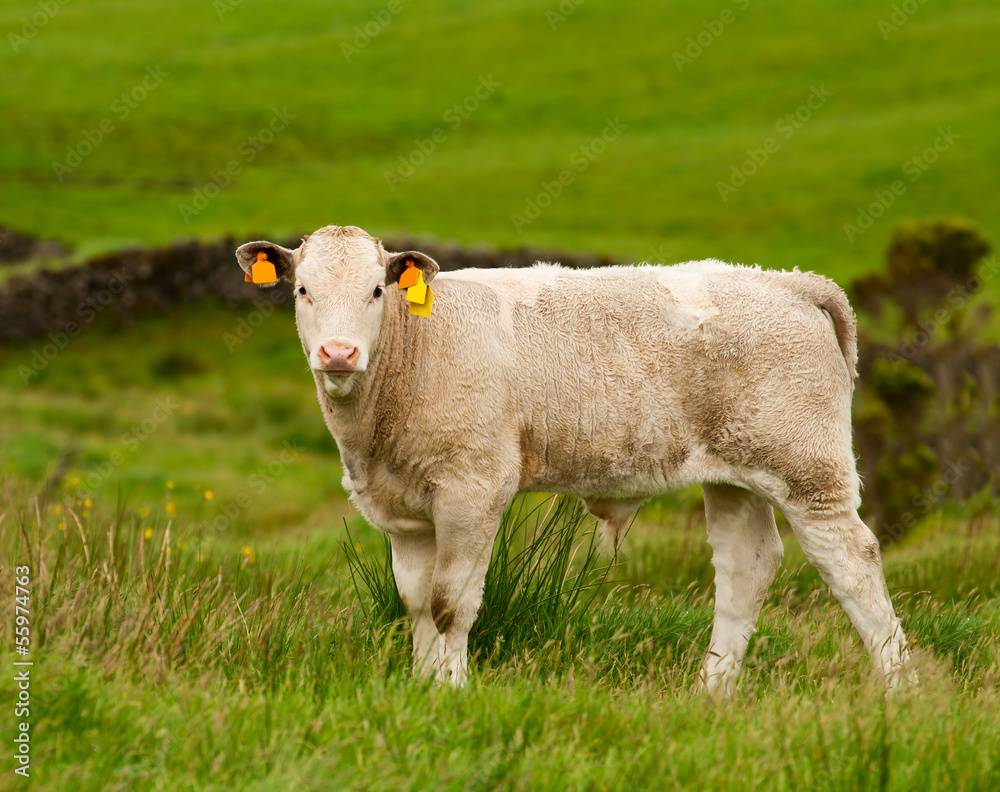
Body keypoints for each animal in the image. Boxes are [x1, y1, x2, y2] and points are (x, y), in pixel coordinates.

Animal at [236, 225, 910, 695]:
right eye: (302, 290)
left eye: (377, 290)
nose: (339, 352)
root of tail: (784, 280)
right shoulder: (403, 514)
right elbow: (415, 603)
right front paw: (421, 688)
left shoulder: (473, 490)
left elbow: (452, 602)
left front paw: (452, 692)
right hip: (734, 473)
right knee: (747, 566)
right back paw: (711, 692)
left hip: (806, 467)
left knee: (852, 561)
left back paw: (900, 687)